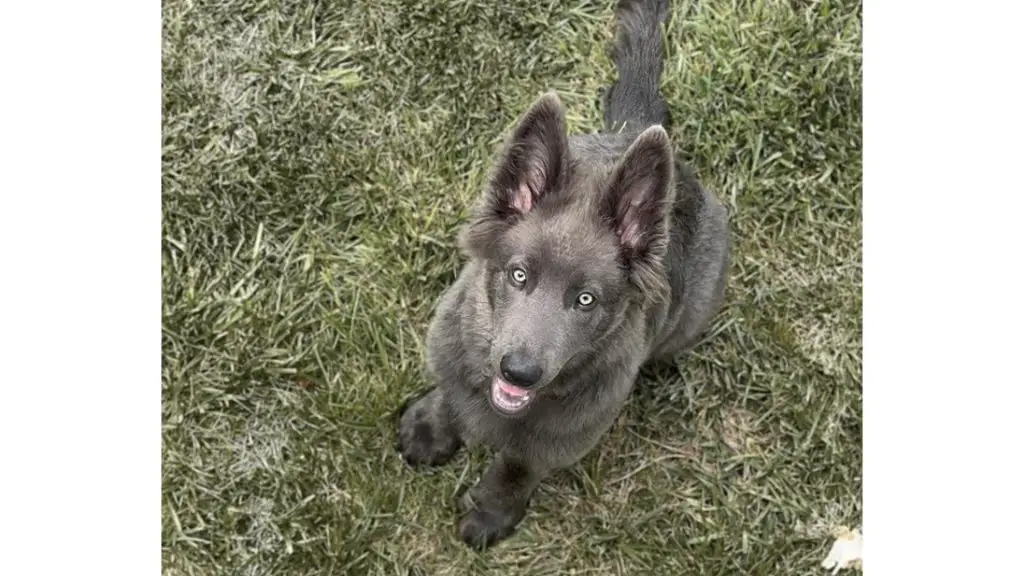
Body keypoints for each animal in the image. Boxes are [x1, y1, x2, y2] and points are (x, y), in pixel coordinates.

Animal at [395, 0, 733, 545]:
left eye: (585, 300)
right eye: (518, 275)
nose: (519, 371)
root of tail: (629, 133)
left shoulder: (563, 437)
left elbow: (518, 466)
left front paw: (492, 513)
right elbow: (451, 390)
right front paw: (429, 427)